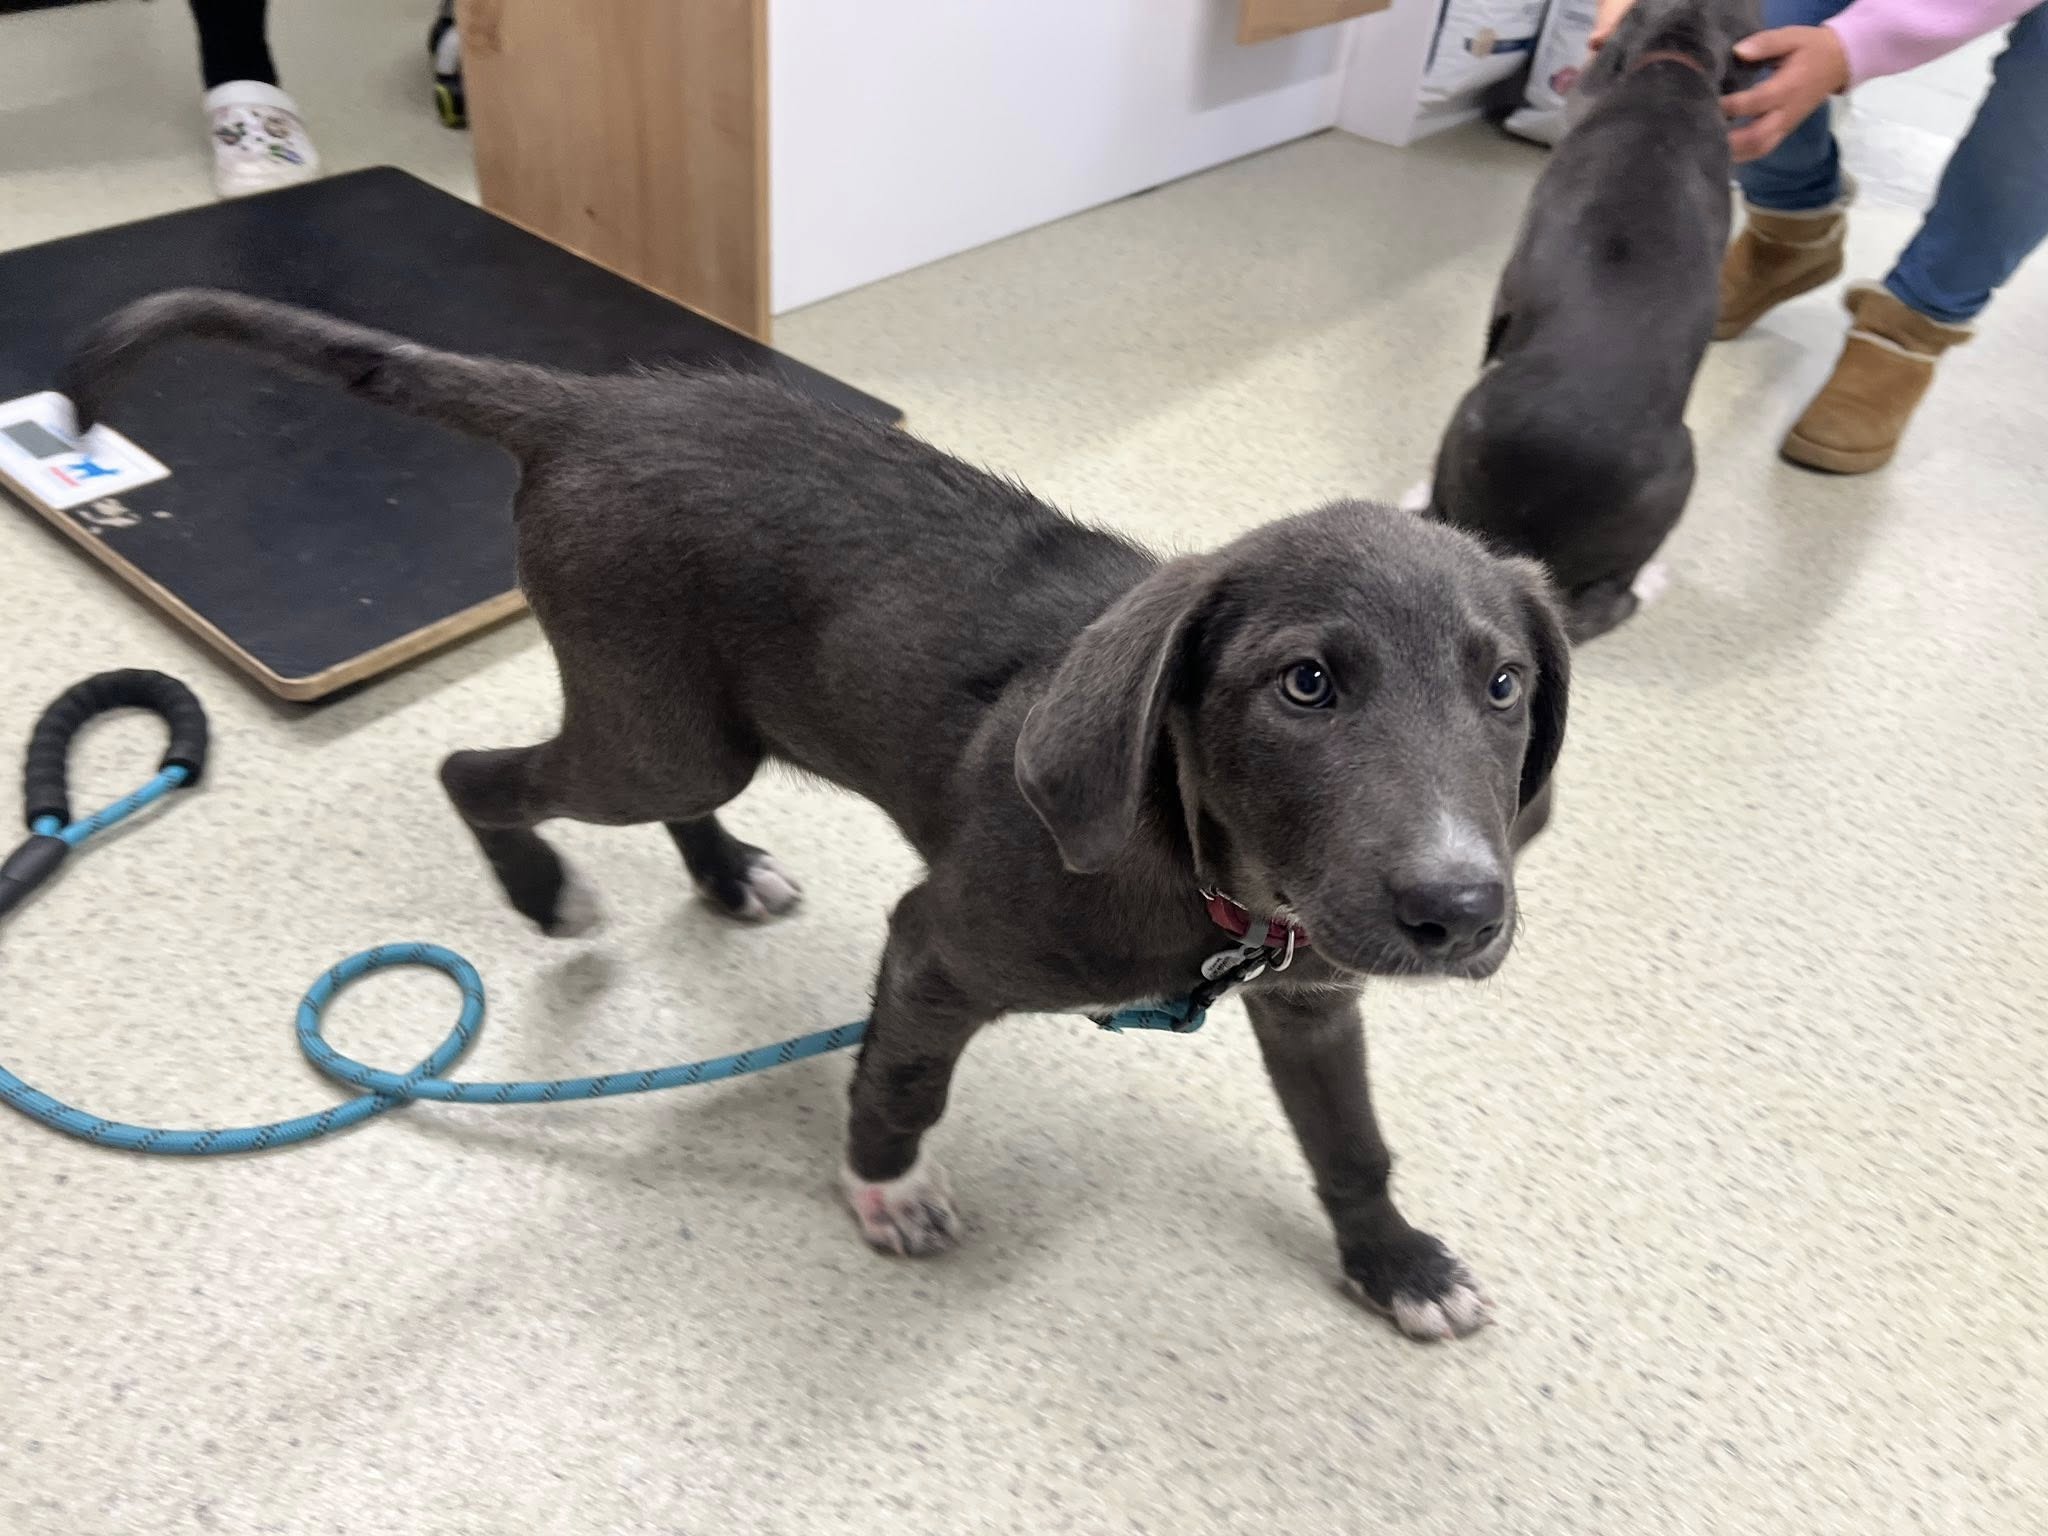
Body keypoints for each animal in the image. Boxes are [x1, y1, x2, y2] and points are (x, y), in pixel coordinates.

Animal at [64, 290, 1569, 1341]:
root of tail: (589, 409)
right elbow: (901, 1079)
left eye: (1503, 685)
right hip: (655, 733)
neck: (1209, 875)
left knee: (676, 807)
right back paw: (542, 890)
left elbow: (1349, 1142)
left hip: (695, 721)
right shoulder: (937, 945)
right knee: (476, 772)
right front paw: (885, 1188)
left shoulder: (1312, 995)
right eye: (1304, 684)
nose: (1456, 912)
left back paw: (726, 874)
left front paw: (1393, 1263)